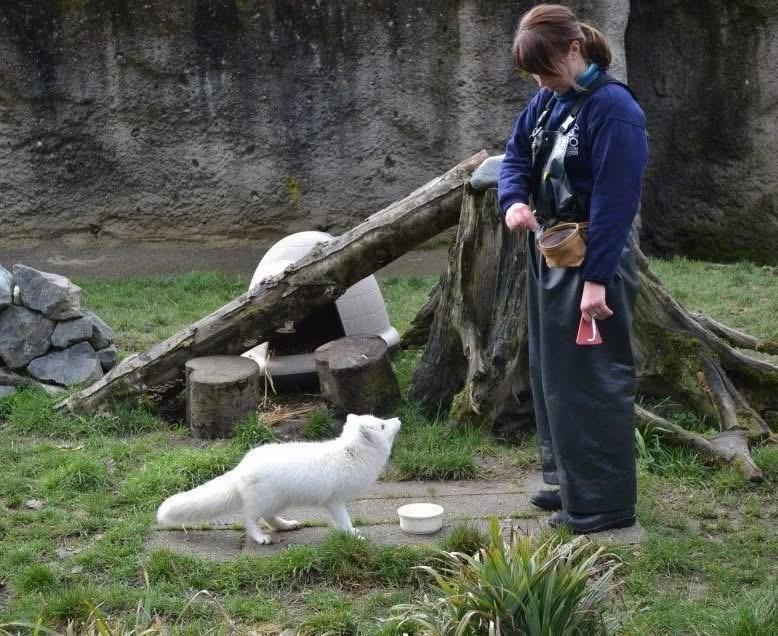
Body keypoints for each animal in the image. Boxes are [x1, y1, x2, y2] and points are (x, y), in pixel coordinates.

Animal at [156, 413, 401, 544]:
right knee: (249, 519)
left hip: (280, 500)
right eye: (383, 425)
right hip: (264, 501)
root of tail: (241, 467)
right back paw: (260, 537)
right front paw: (352, 535)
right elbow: (344, 520)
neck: (350, 455)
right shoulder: (334, 501)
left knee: (269, 517)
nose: (398, 418)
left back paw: (286, 525)